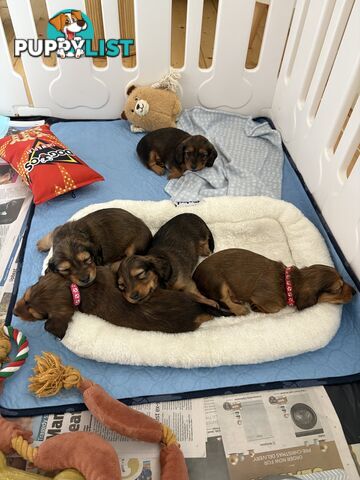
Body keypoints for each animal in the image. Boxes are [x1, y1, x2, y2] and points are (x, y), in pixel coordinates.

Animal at [193, 248, 356, 316]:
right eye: (338, 289)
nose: (355, 292)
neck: (287, 283)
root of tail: (195, 275)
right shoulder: (263, 299)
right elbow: (273, 308)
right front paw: (255, 307)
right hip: (218, 281)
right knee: (224, 299)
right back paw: (240, 308)